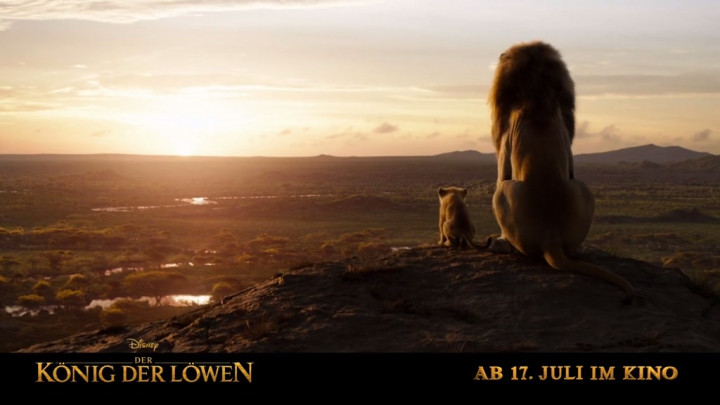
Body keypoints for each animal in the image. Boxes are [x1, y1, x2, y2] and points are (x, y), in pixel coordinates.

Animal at [487, 41, 636, 298]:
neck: (537, 94)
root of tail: (551, 237)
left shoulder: (505, 144)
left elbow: (500, 173)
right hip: (583, 188)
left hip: (503, 193)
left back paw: (501, 245)